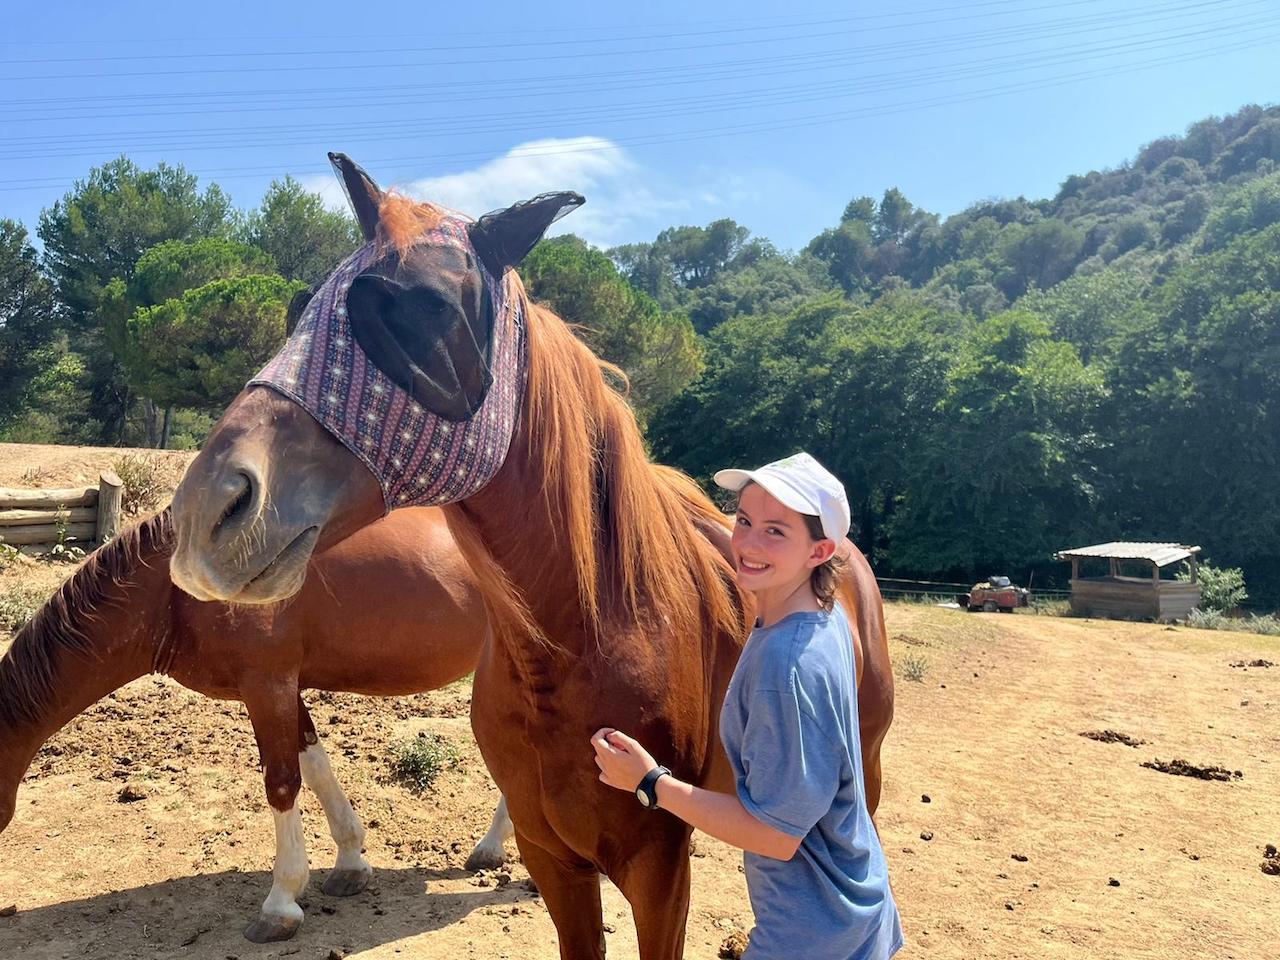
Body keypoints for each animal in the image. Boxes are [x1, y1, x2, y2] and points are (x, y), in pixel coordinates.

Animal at [0, 505, 513, 943]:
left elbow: (282, 784)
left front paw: (280, 904)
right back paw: (491, 849)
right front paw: (350, 865)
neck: (173, 594)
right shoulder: (287, 689)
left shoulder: (267, 686)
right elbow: (316, 769)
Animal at [165, 153, 895, 960]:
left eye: (431, 308)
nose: (207, 511)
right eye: (303, 308)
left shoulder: (658, 868)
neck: (578, 645)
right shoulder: (554, 862)